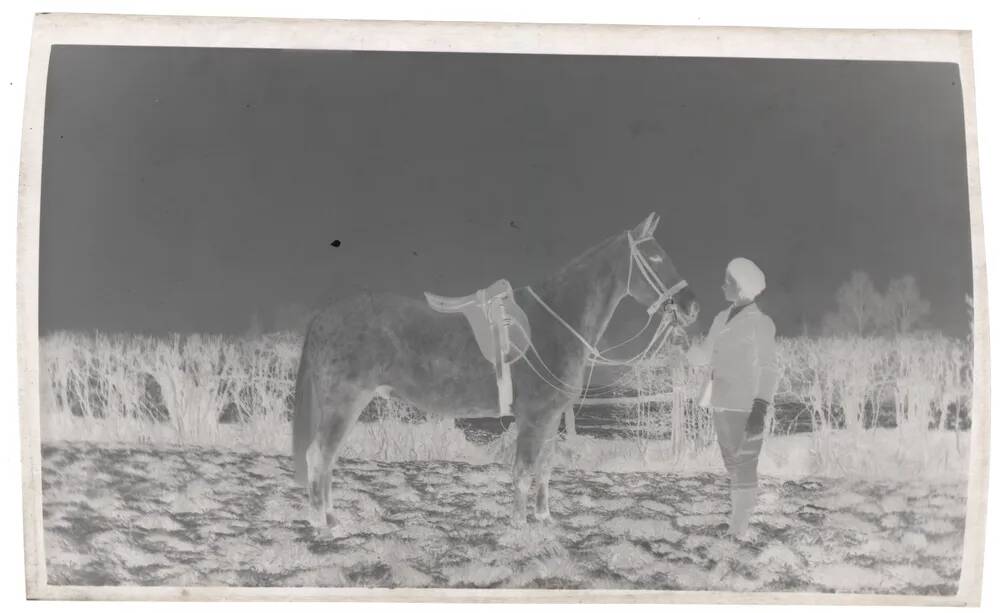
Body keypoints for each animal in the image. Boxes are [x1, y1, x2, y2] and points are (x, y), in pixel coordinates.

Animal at [292, 212, 700, 524]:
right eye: (656, 259)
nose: (691, 305)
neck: (555, 322)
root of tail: (322, 318)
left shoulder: (552, 416)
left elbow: (544, 468)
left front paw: (544, 520)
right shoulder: (532, 417)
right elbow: (522, 470)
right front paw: (519, 526)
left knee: (325, 459)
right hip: (343, 404)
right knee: (320, 457)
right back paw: (325, 522)